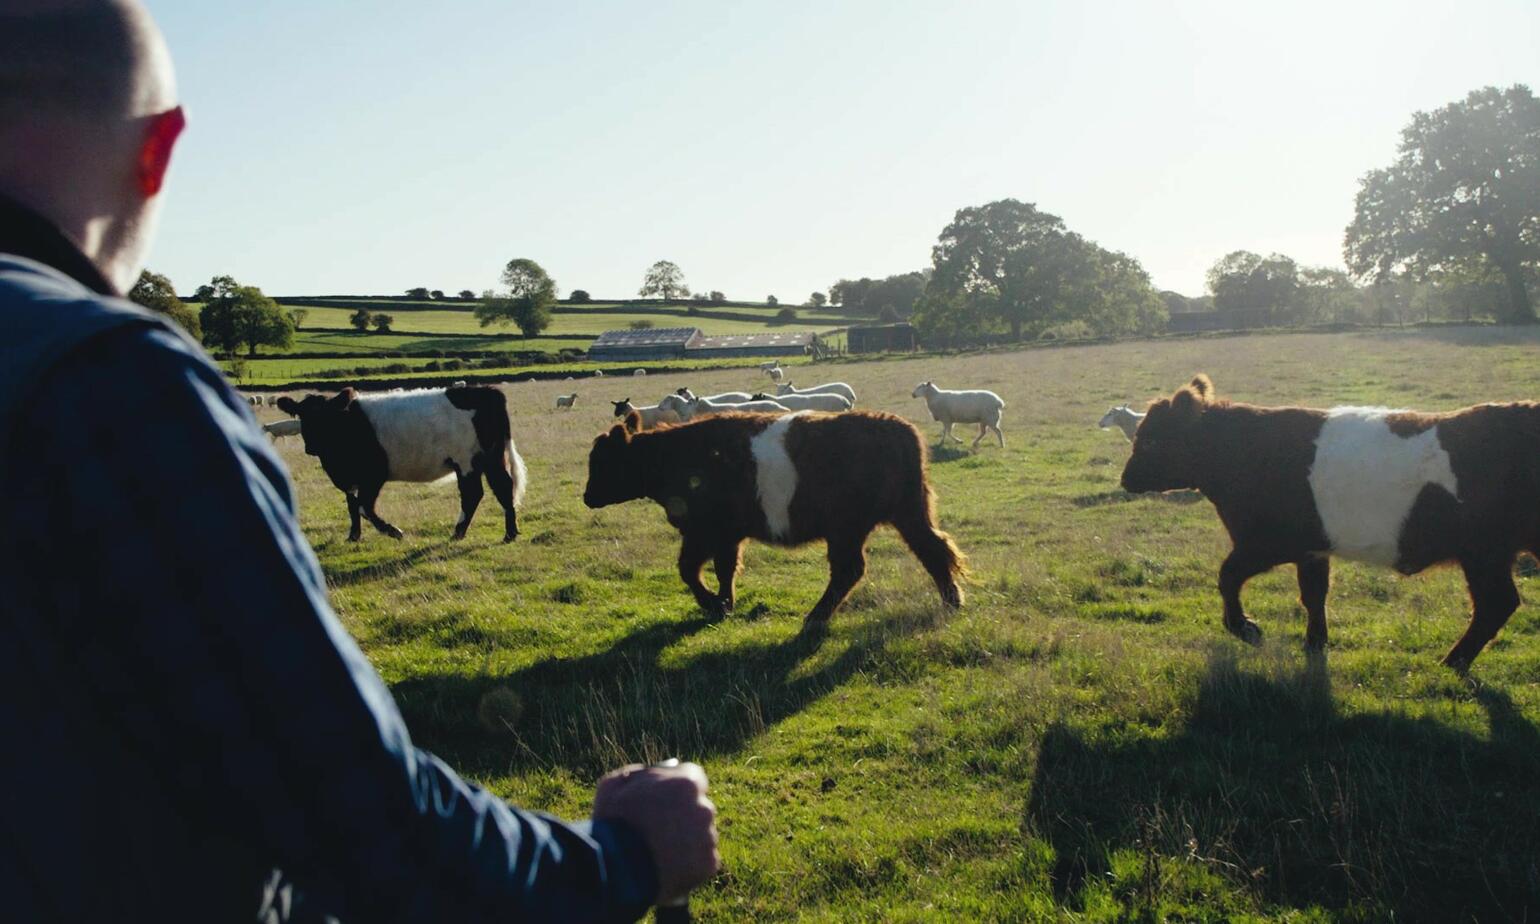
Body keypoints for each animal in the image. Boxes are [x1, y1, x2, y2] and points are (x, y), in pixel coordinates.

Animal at [281, 385, 529, 542]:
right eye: (301, 415)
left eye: (326, 416)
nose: (311, 447)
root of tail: (488, 391)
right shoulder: (350, 479)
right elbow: (352, 507)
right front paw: (353, 537)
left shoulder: (374, 475)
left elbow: (364, 507)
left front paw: (394, 531)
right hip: (487, 459)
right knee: (499, 488)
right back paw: (504, 533)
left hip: (469, 460)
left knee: (475, 493)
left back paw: (470, 532)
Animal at [579, 412, 960, 622]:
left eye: (602, 461)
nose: (587, 497)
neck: (675, 456)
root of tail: (897, 426)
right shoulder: (727, 535)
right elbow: (724, 569)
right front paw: (725, 603)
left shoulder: (704, 531)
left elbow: (689, 570)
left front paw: (713, 604)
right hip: (908, 514)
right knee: (934, 550)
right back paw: (952, 602)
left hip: (849, 528)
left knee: (849, 570)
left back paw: (815, 618)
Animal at [1121, 375, 1540, 671]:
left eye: (1151, 440)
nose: (1125, 479)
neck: (1247, 451)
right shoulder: (1312, 548)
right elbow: (1313, 594)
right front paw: (1314, 642)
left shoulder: (1266, 542)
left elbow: (1228, 576)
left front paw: (1246, 629)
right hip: (1489, 554)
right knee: (1498, 604)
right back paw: (1454, 661)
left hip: (1484, 554)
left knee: (1495, 604)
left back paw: (1452, 661)